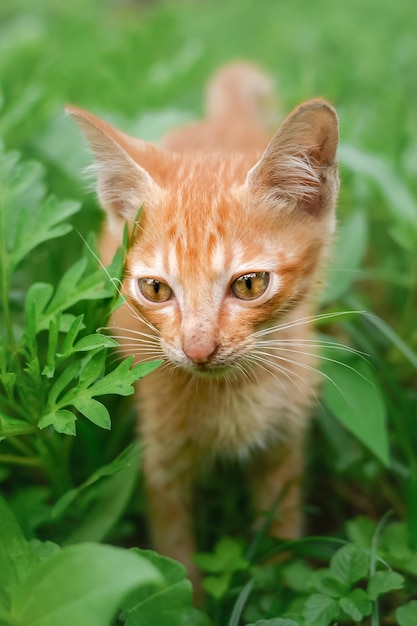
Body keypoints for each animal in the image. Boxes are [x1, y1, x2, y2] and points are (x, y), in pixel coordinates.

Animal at [66, 61, 338, 588]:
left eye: (250, 285)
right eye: (155, 289)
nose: (198, 349)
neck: (230, 394)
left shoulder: (286, 442)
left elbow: (281, 531)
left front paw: (274, 584)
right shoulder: (159, 459)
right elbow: (174, 553)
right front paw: (187, 594)